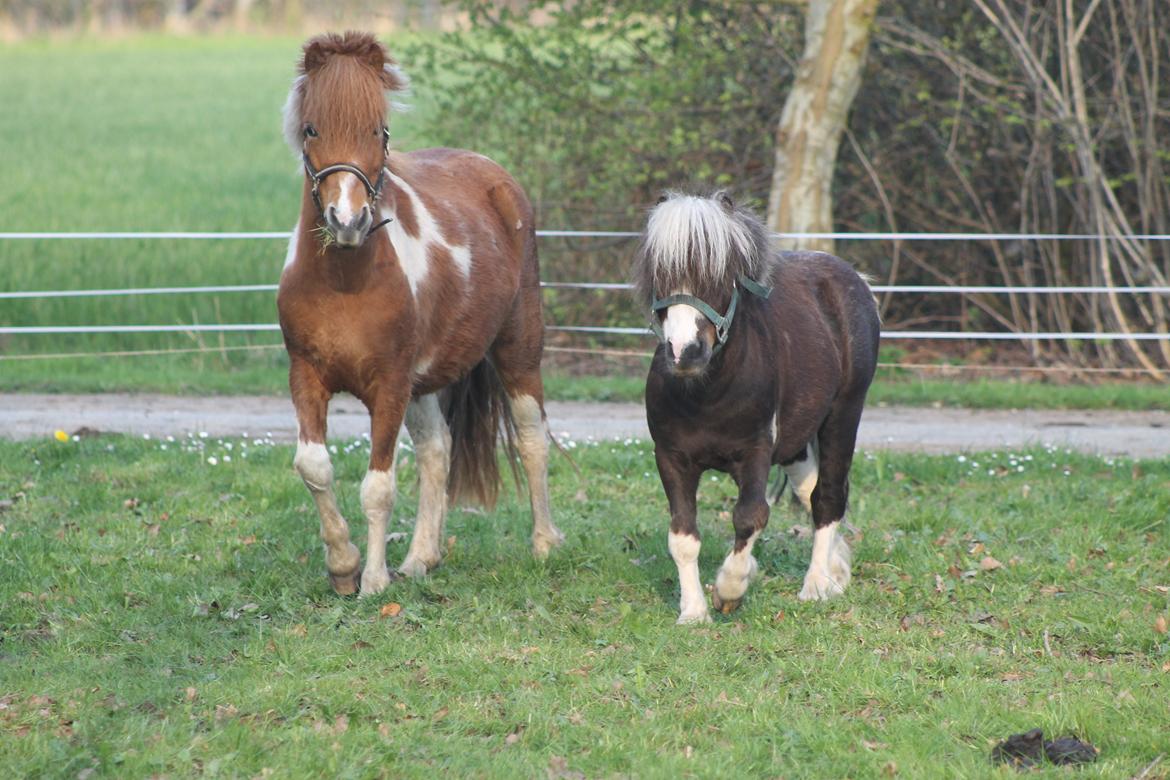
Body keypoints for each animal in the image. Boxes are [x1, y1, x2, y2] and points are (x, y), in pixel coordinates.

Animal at [278, 33, 561, 598]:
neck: (346, 281)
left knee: (531, 435)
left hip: (519, 347)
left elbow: (378, 488)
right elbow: (314, 466)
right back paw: (420, 559)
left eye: (378, 128)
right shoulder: (308, 375)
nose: (348, 221)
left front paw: (372, 580)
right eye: (312, 128)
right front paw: (343, 566)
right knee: (438, 450)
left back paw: (543, 544)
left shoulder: (389, 384)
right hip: (424, 381)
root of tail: (497, 178)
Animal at [631, 191, 879, 626]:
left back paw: (815, 586)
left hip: (844, 413)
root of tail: (855, 280)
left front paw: (730, 589)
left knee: (828, 497)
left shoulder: (756, 452)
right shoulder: (671, 458)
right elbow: (682, 535)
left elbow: (751, 515)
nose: (686, 351)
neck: (707, 394)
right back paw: (834, 572)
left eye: (720, 277)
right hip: (797, 439)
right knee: (809, 490)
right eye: (660, 274)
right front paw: (693, 612)